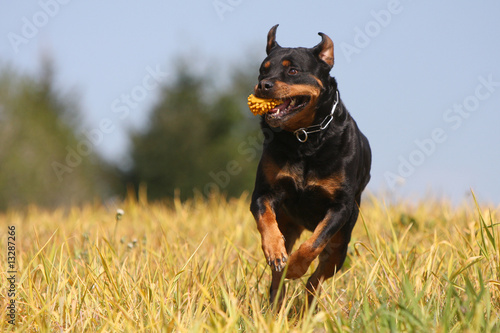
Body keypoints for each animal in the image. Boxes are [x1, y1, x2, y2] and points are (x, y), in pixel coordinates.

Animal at [250, 24, 372, 304]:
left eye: (293, 70)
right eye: (263, 69)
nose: (263, 85)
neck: (304, 138)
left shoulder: (339, 207)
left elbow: (314, 243)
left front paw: (296, 267)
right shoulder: (263, 193)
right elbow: (266, 220)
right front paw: (275, 251)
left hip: (343, 241)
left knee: (319, 274)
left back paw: (307, 300)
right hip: (288, 222)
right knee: (278, 277)